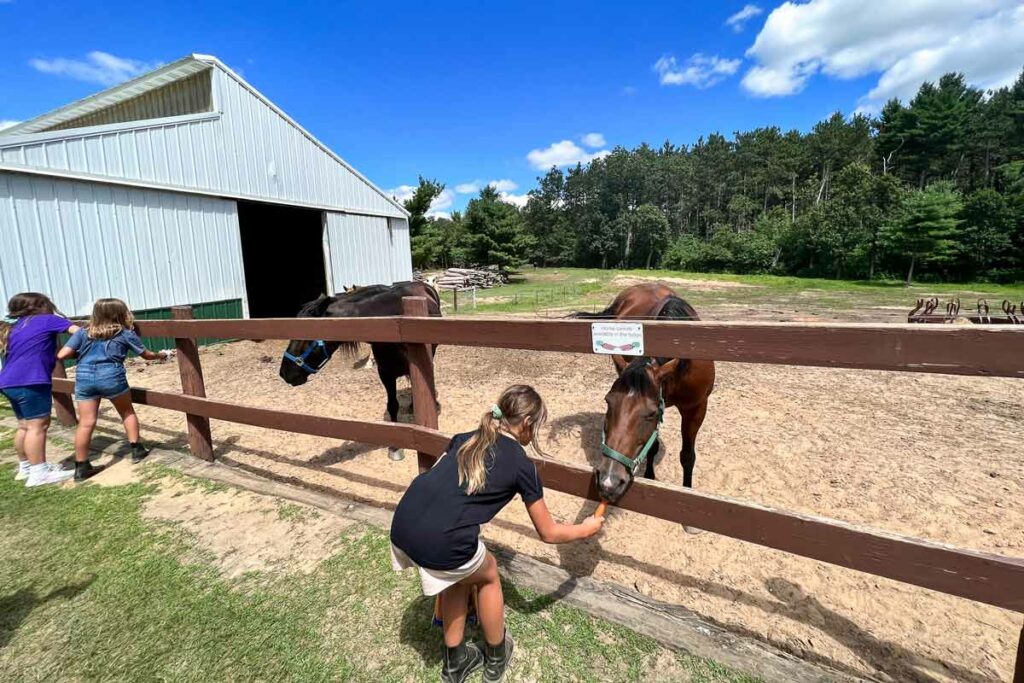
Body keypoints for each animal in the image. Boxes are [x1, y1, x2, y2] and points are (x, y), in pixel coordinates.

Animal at [278, 280, 442, 462]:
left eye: (304, 337)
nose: (285, 373)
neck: (394, 321)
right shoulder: (385, 373)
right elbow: (392, 405)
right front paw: (395, 447)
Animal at [573, 280, 716, 509]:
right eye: (608, 402)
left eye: (650, 414)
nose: (608, 482)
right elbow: (652, 445)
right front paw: (650, 477)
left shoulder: (696, 408)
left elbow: (687, 456)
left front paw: (687, 490)